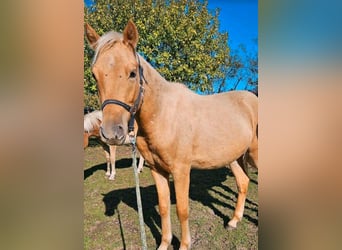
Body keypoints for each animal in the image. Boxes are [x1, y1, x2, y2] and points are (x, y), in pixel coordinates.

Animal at [85, 20, 256, 250]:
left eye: (132, 73)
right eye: (95, 74)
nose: (112, 132)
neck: (164, 115)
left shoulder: (181, 171)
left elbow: (182, 211)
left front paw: (184, 245)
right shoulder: (157, 170)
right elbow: (164, 207)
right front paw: (164, 244)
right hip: (234, 157)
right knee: (243, 183)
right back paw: (233, 221)